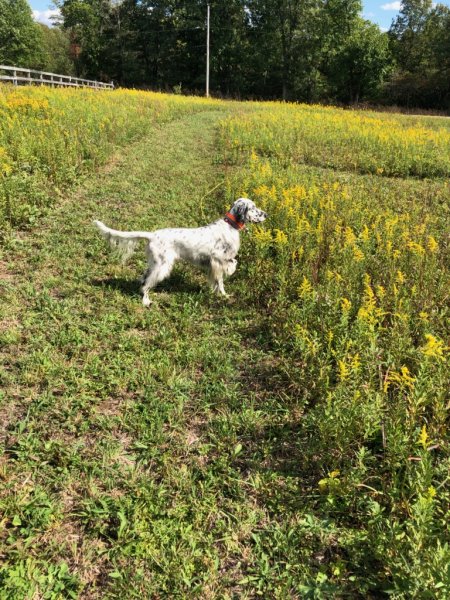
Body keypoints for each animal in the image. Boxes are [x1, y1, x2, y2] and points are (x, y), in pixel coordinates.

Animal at [92, 198, 266, 308]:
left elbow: (218, 279)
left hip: (154, 263)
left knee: (143, 278)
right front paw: (224, 294)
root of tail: (152, 235)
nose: (266, 214)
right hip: (162, 266)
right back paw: (146, 302)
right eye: (253, 208)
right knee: (146, 284)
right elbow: (227, 271)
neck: (230, 225)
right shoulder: (218, 259)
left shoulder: (214, 264)